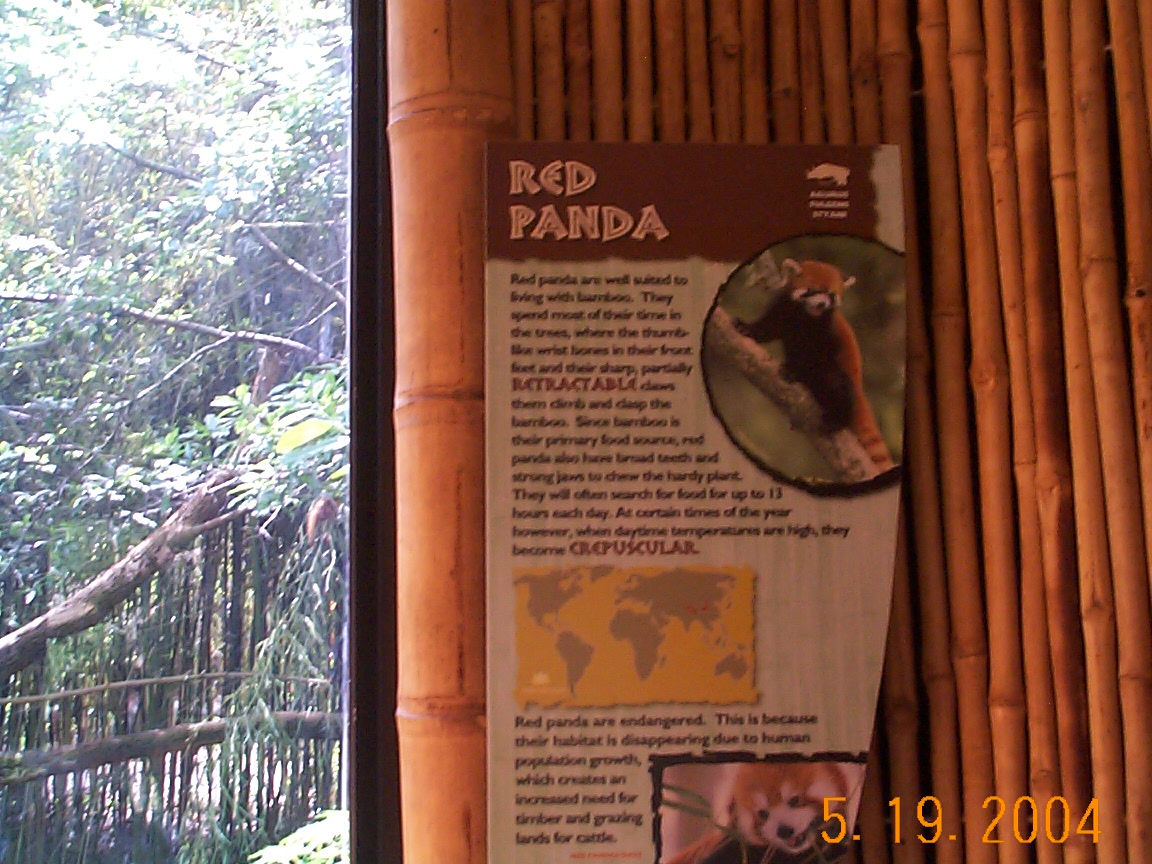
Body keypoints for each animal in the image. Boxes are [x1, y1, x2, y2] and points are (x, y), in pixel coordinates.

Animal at [735, 258, 894, 471]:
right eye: (813, 290)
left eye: (831, 294)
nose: (821, 303)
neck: (806, 316)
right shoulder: (783, 309)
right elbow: (769, 327)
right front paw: (748, 328)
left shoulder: (827, 333)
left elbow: (817, 359)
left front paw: (796, 371)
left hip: (843, 381)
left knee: (837, 384)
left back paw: (836, 419)